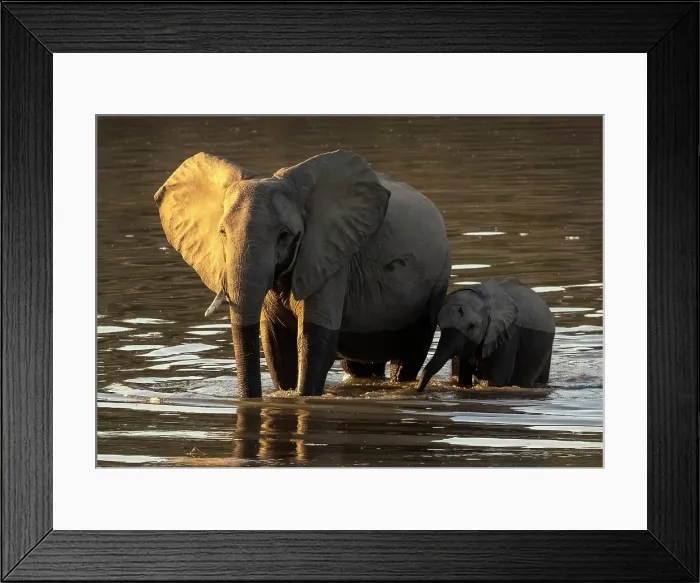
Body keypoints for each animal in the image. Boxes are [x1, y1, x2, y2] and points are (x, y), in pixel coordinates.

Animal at [155, 150, 451, 397]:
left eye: (284, 235)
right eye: (222, 232)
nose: (249, 399)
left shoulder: (331, 256)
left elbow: (315, 337)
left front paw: (302, 397)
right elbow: (276, 343)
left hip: (435, 283)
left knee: (410, 355)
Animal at [417, 277, 555, 391]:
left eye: (472, 326)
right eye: (439, 325)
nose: (418, 389)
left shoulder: (507, 335)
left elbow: (495, 379)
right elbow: (462, 376)